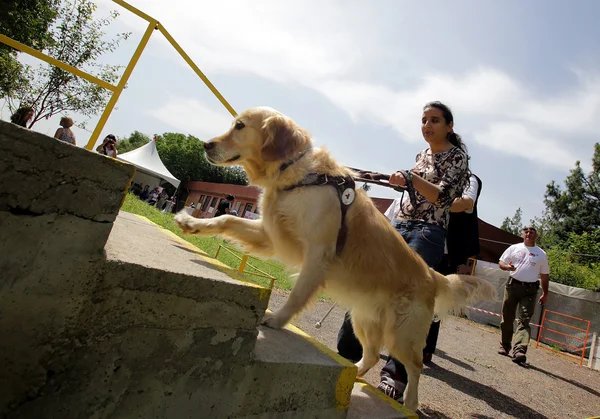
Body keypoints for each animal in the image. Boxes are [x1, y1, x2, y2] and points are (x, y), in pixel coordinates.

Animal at [175, 107, 496, 410]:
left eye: (240, 126)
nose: (205, 144)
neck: (299, 173)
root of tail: (432, 274)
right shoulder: (271, 235)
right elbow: (226, 218)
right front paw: (192, 223)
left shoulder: (318, 253)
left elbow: (297, 294)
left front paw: (277, 319)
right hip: (363, 319)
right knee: (371, 356)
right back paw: (353, 375)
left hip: (401, 334)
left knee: (415, 367)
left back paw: (410, 402)